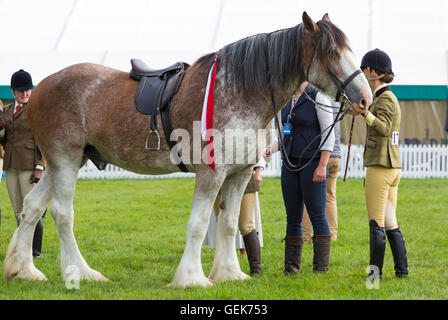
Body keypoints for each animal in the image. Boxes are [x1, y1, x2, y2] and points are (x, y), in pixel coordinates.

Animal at [2, 11, 372, 288]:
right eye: (332, 53)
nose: (365, 98)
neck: (238, 88)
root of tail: (42, 87)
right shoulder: (211, 173)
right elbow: (199, 223)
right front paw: (192, 278)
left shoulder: (238, 175)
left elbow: (228, 224)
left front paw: (229, 274)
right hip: (65, 162)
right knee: (62, 214)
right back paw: (80, 273)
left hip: (60, 164)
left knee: (32, 208)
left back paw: (23, 270)